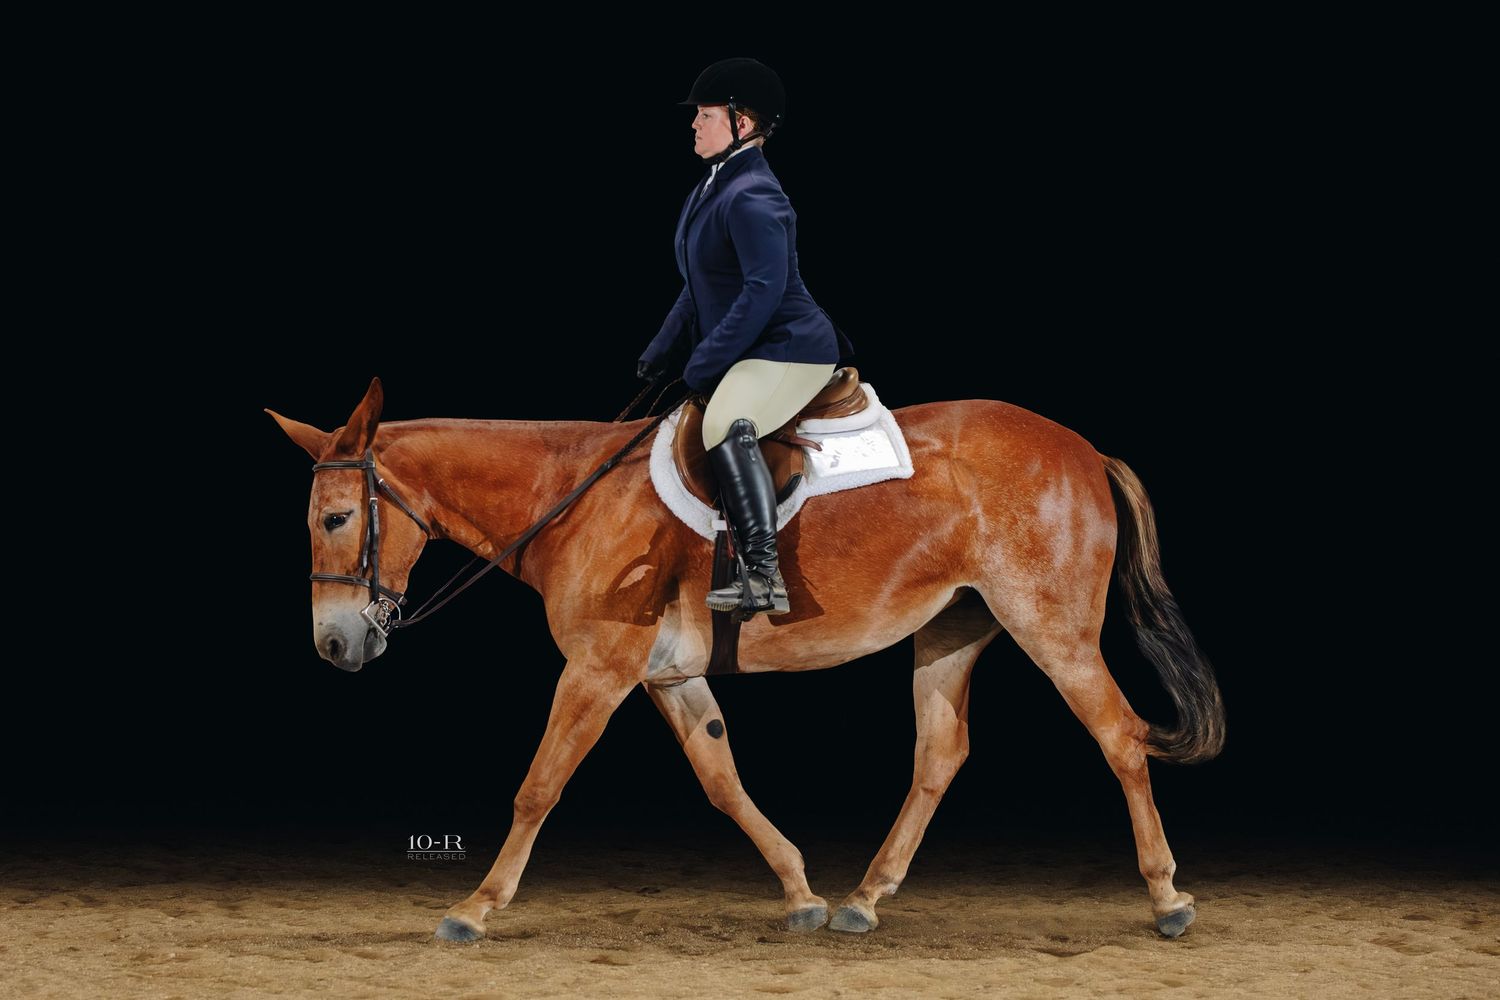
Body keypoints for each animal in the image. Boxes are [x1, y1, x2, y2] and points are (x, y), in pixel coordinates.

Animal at [266, 376, 1225, 942]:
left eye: (338, 519)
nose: (334, 644)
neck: (571, 499)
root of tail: (1082, 448)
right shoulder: (667, 676)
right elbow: (722, 781)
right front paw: (800, 892)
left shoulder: (599, 670)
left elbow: (538, 786)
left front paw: (473, 908)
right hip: (954, 626)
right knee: (939, 754)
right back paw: (863, 898)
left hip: (1050, 626)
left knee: (1118, 736)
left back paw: (1167, 898)